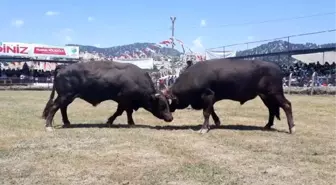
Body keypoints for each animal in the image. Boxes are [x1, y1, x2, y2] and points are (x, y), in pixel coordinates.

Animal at [42, 60, 173, 131]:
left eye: (168, 104)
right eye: (162, 105)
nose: (171, 118)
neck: (136, 79)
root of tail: (63, 67)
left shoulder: (126, 102)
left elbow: (126, 112)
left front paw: (129, 122)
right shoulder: (124, 100)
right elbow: (121, 112)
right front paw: (111, 121)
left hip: (66, 97)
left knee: (62, 108)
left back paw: (67, 122)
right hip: (65, 96)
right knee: (54, 107)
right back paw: (48, 126)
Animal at [164, 58, 296, 134]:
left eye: (166, 102)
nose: (169, 115)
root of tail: (277, 67)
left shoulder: (208, 95)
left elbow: (206, 112)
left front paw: (204, 128)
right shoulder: (211, 98)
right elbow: (211, 110)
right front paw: (217, 122)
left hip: (275, 93)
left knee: (287, 105)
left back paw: (292, 128)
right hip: (265, 96)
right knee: (271, 109)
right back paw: (267, 125)